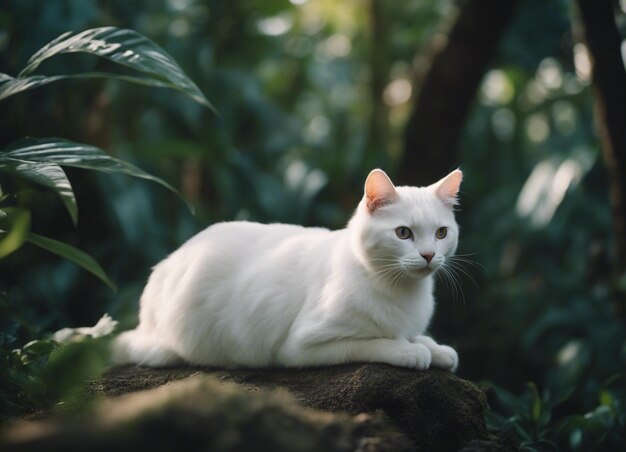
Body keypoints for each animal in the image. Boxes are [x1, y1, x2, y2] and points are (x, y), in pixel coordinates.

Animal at [112, 169, 460, 370]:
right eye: (403, 233)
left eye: (441, 233)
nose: (429, 255)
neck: (404, 291)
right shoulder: (300, 347)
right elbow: (373, 342)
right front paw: (410, 351)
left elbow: (420, 336)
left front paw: (437, 349)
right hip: (167, 346)